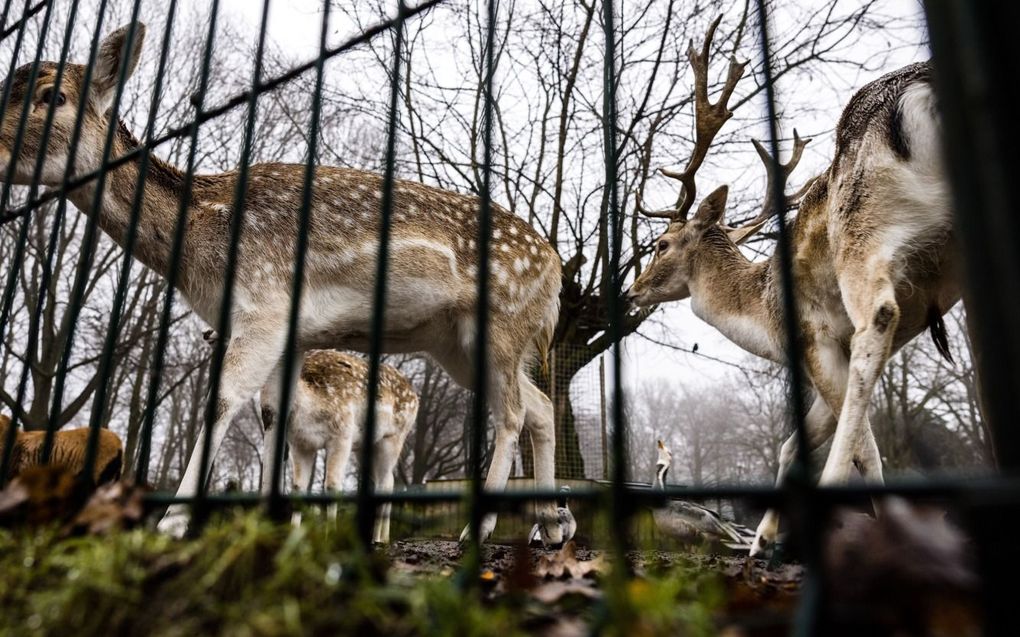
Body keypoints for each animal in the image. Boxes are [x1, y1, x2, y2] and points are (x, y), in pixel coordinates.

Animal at [0, 23, 567, 542]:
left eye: (54, 96)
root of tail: (558, 273)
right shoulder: (290, 333)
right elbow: (274, 417)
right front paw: (271, 525)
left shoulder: (264, 307)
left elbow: (222, 401)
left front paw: (173, 524)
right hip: (455, 345)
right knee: (540, 406)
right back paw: (554, 525)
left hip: (501, 324)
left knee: (513, 413)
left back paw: (481, 529)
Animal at [624, 18, 958, 554]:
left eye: (660, 243)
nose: (631, 291)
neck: (760, 314)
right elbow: (789, 446)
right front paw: (762, 539)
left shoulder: (815, 342)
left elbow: (865, 444)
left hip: (866, 240)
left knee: (879, 315)